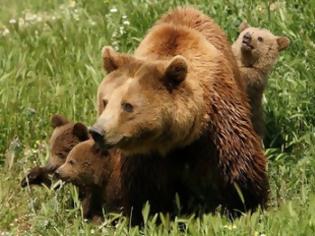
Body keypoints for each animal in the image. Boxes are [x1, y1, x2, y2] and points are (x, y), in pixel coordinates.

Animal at [90, 6, 270, 223]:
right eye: (105, 101)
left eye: (127, 106)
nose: (97, 131)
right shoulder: (144, 154)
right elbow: (141, 188)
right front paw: (146, 215)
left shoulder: (217, 121)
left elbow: (238, 160)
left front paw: (245, 203)